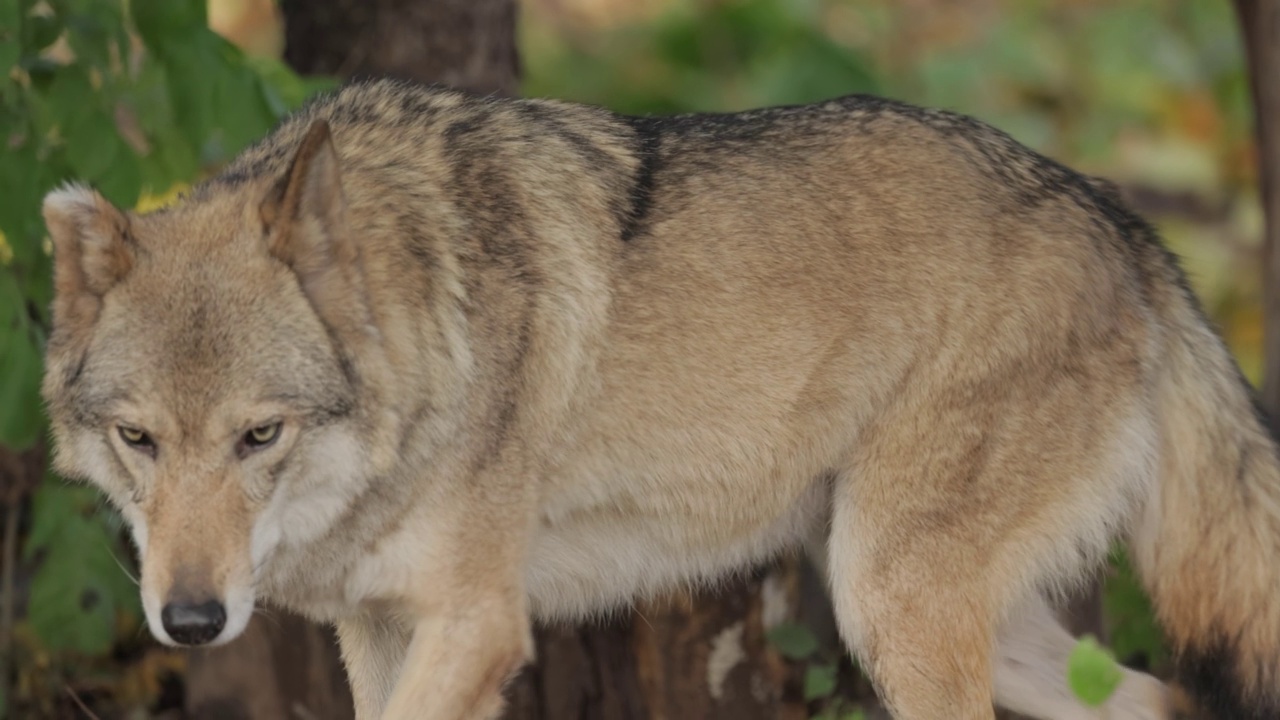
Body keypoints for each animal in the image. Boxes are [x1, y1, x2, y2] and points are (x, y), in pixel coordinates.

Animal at [40, 79, 1280, 717]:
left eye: (260, 435)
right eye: (139, 438)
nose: (190, 621)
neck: (426, 328)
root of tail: (1119, 220)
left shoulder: (477, 625)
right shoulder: (378, 631)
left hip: (895, 615)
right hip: (944, 619)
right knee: (1170, 703)